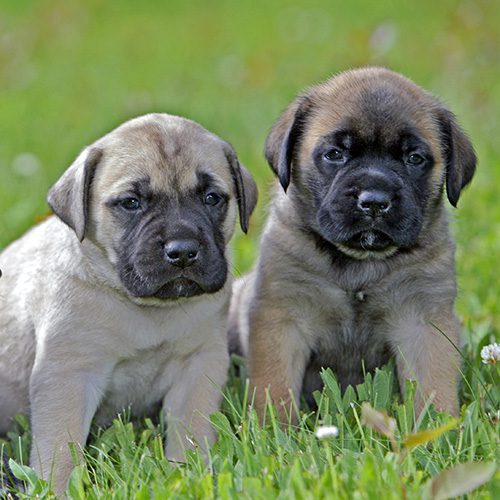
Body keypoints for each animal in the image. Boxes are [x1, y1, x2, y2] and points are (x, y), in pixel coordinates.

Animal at [0, 114, 258, 496]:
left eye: (212, 198)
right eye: (131, 203)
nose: (183, 251)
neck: (147, 309)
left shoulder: (197, 366)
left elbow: (191, 430)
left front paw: (191, 476)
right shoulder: (68, 376)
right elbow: (59, 448)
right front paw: (59, 490)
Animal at [229, 65, 474, 418]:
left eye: (414, 158)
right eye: (335, 154)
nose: (374, 201)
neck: (359, 265)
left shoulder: (423, 323)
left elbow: (433, 387)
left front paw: (438, 426)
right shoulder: (282, 319)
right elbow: (273, 388)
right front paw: (271, 426)